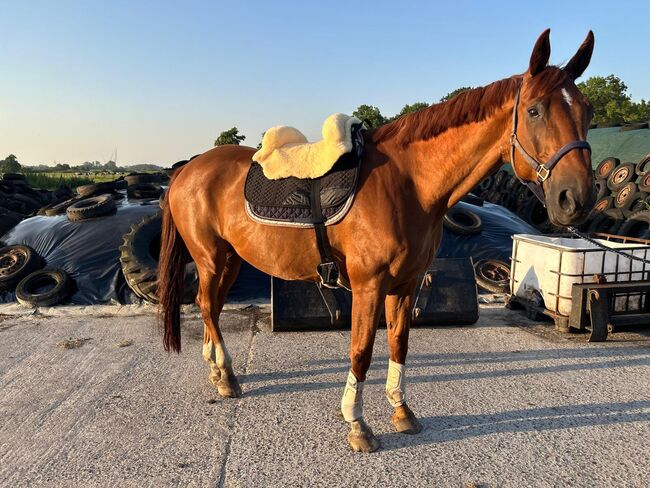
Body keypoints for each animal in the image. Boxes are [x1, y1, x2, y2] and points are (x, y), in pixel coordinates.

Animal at [157, 28, 592, 452]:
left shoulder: (406, 284)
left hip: (230, 259)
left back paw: (218, 372)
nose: (575, 199)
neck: (407, 183)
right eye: (534, 110)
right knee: (207, 306)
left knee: (210, 307)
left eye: (586, 111)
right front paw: (357, 424)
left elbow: (399, 344)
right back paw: (227, 376)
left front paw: (402, 411)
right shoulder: (368, 284)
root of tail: (185, 170)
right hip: (211, 258)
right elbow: (362, 352)